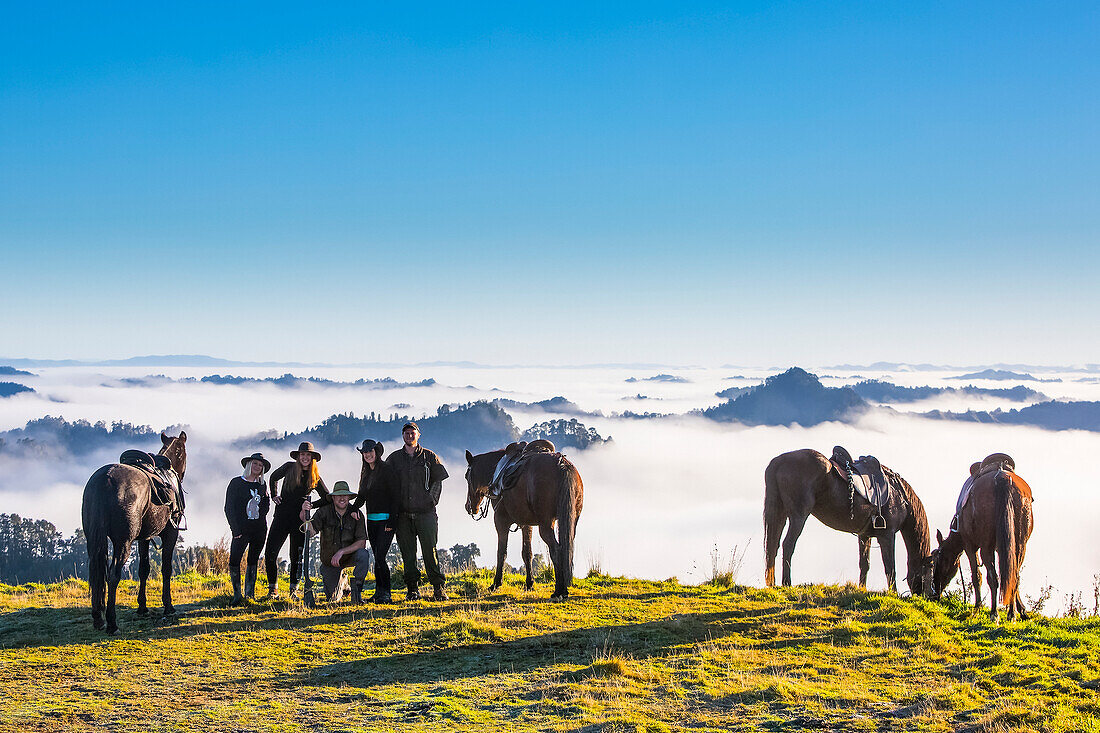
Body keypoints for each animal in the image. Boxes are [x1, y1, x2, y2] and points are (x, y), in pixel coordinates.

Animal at [81, 431, 188, 629]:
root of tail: (105, 479)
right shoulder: (171, 533)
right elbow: (166, 569)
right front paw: (168, 605)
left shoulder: (144, 538)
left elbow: (143, 569)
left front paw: (142, 607)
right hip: (123, 542)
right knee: (113, 576)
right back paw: (112, 622)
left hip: (94, 540)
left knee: (96, 574)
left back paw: (98, 618)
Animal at [464, 442, 585, 598]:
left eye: (466, 476)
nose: (469, 507)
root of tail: (562, 465)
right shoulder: (526, 524)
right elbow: (527, 553)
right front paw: (529, 583)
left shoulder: (501, 521)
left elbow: (501, 552)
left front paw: (496, 583)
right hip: (571, 521)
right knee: (565, 548)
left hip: (546, 525)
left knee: (557, 550)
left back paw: (559, 590)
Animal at [765, 444, 928, 594]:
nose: (929, 595)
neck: (899, 494)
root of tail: (778, 461)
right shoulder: (887, 535)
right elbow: (890, 566)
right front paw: (893, 593)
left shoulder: (864, 535)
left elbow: (865, 564)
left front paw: (862, 589)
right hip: (798, 516)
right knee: (788, 545)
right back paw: (787, 583)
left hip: (780, 514)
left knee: (773, 546)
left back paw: (773, 584)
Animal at [928, 460, 1029, 620]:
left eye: (939, 559)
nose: (935, 594)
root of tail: (1002, 476)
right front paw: (1021, 609)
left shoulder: (970, 545)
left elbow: (976, 576)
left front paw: (977, 607)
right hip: (1019, 545)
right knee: (1014, 576)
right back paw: (1011, 614)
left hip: (986, 547)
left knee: (992, 578)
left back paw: (994, 613)